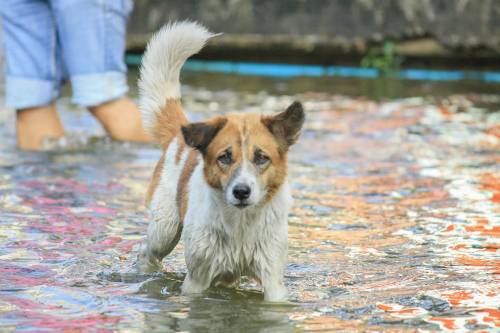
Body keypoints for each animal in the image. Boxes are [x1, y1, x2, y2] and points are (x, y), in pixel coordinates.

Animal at [135, 20, 302, 300]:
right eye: (225, 157)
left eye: (261, 157)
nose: (242, 192)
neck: (240, 226)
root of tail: (181, 131)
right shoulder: (197, 280)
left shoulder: (272, 279)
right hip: (164, 230)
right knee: (147, 253)